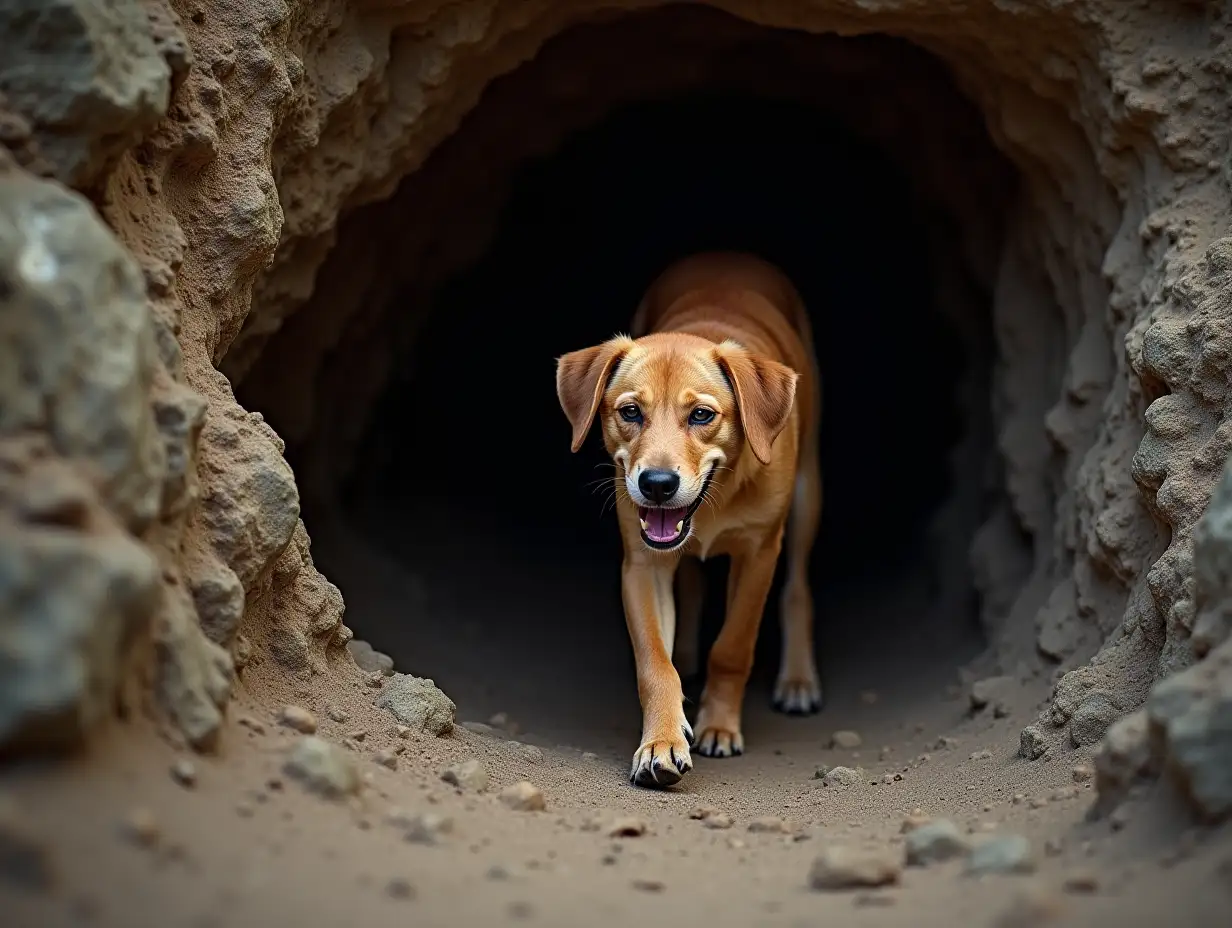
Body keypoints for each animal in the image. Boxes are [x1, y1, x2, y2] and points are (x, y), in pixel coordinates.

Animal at [556, 250, 822, 783]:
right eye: (630, 412)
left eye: (702, 415)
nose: (657, 485)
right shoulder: (642, 565)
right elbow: (655, 663)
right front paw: (661, 741)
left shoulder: (760, 553)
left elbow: (733, 647)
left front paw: (719, 726)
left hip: (808, 493)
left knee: (798, 586)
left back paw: (798, 678)